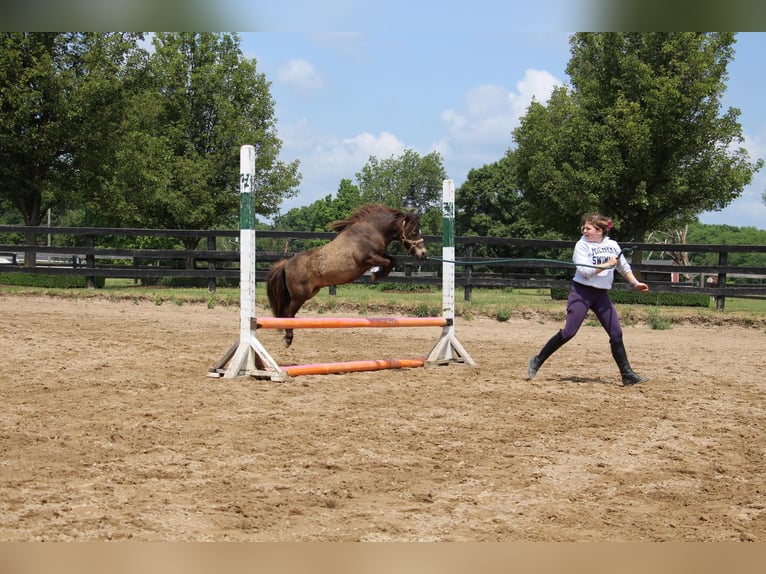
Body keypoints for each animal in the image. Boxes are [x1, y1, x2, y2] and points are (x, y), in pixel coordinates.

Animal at [268, 205, 428, 348]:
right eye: (414, 232)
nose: (423, 254)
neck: (372, 231)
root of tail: (286, 264)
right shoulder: (368, 258)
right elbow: (388, 262)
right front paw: (375, 275)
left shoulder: (380, 255)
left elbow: (393, 261)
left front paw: (377, 275)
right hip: (299, 296)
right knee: (288, 313)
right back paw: (288, 339)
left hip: (308, 293)